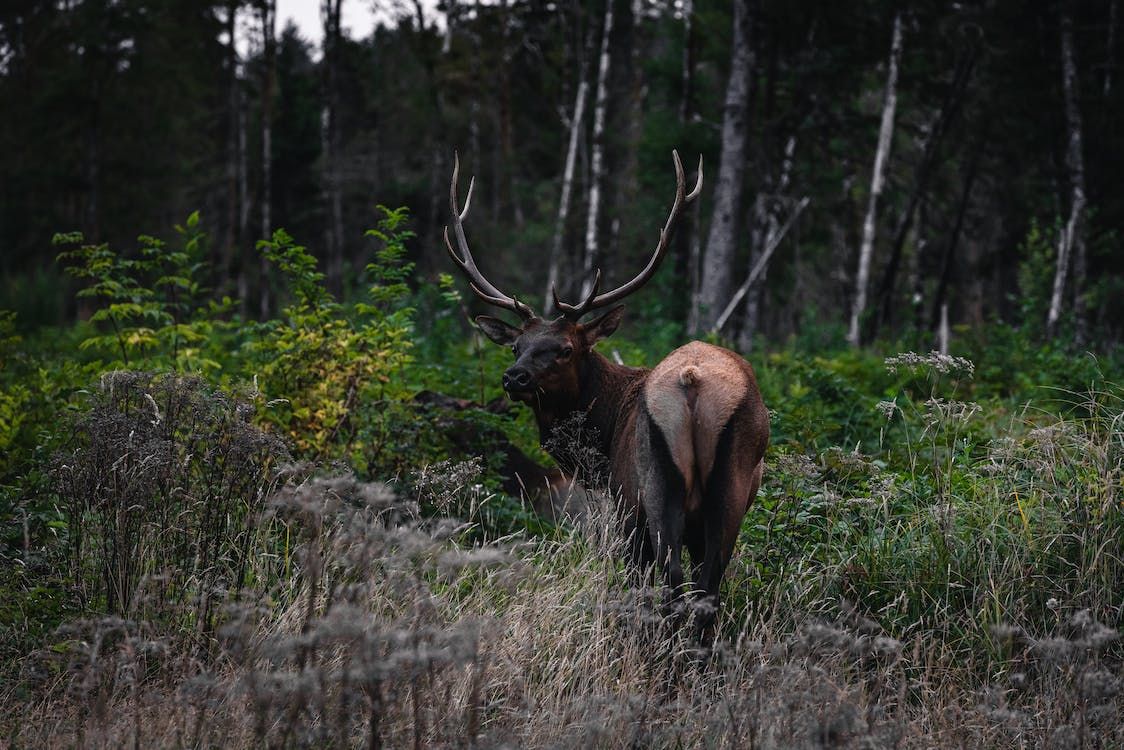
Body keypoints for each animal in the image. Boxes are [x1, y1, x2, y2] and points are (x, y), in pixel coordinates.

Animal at [442, 149, 768, 629]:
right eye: (518, 346)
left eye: (564, 349)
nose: (514, 377)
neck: (603, 434)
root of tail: (693, 383)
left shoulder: (622, 503)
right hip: (728, 493)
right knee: (706, 588)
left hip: (653, 488)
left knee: (670, 580)